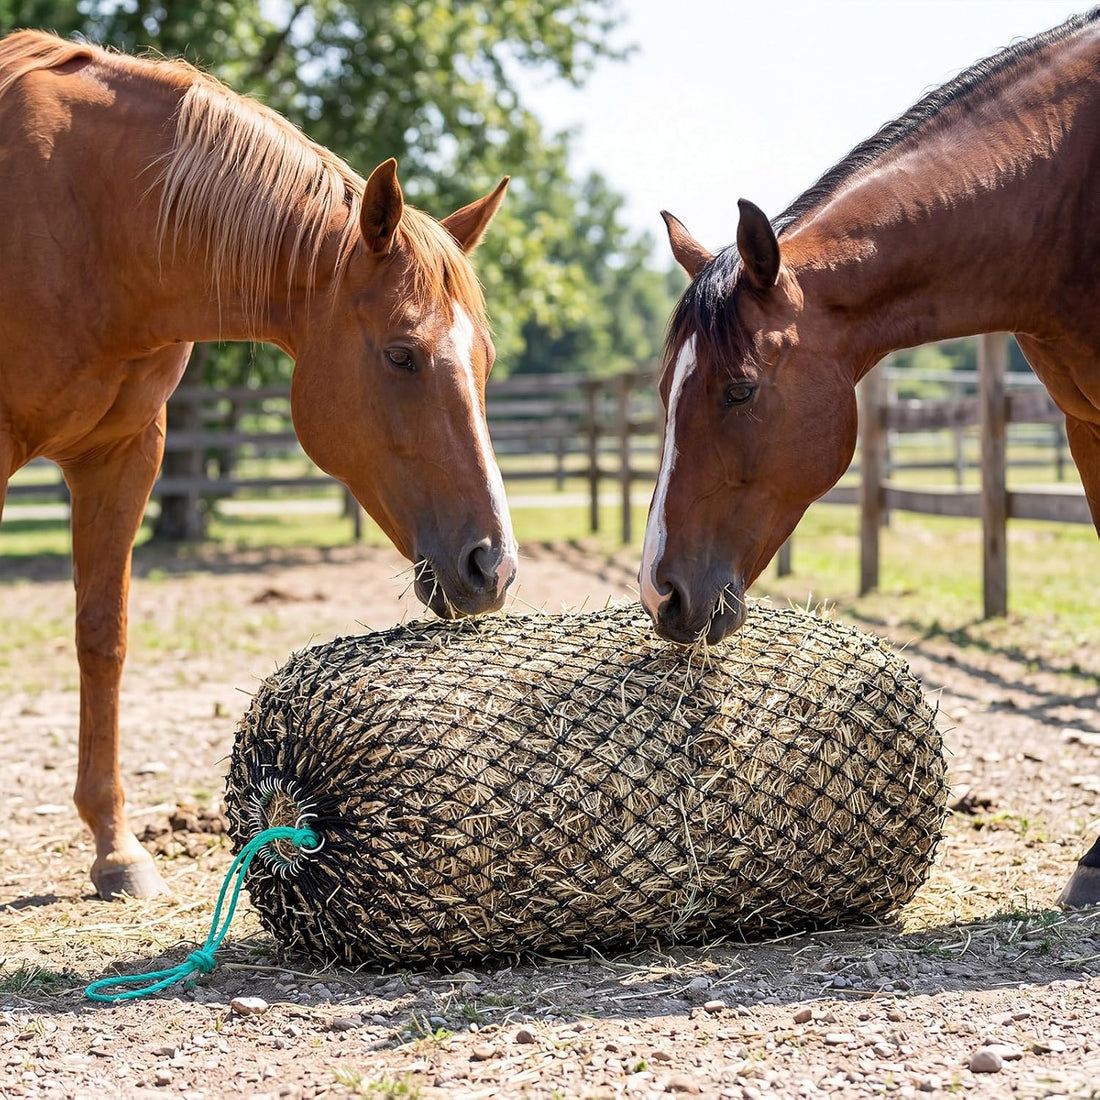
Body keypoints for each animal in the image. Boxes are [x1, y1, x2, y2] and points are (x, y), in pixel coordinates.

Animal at [0, 30, 518, 900]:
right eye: (401, 354)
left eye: (482, 358)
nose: (493, 566)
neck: (85, 215)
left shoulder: (124, 455)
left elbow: (103, 637)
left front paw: (116, 849)